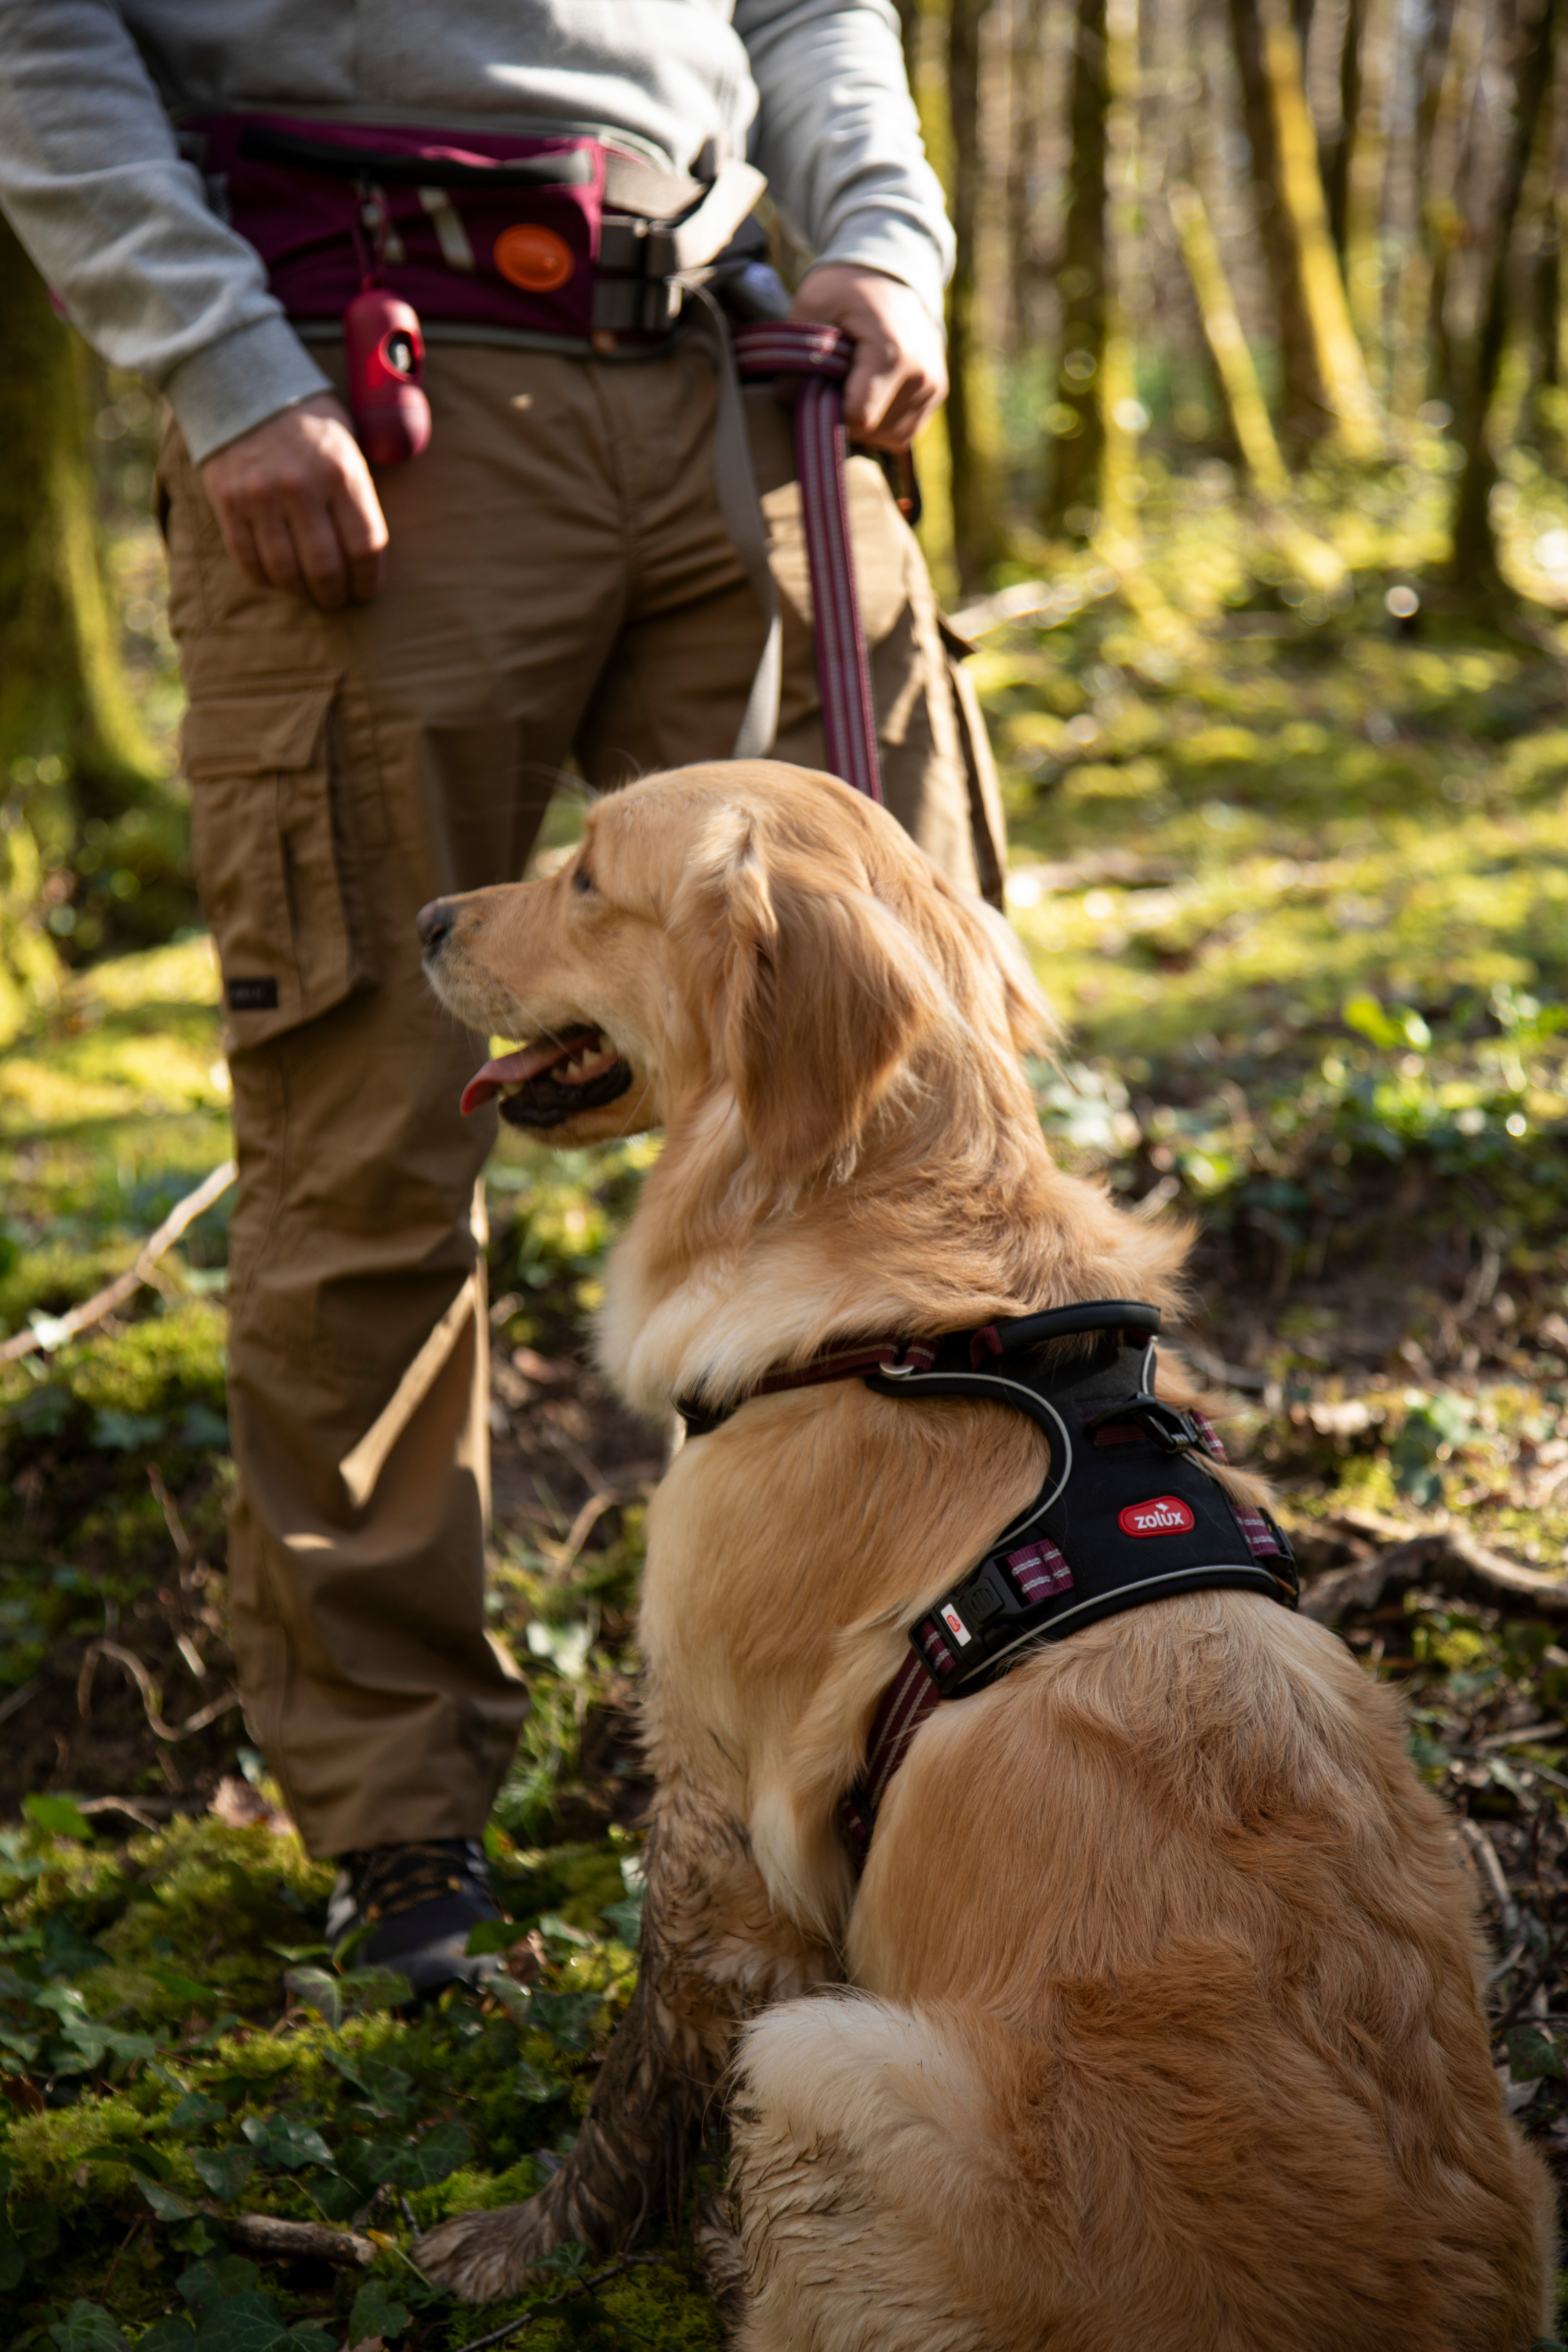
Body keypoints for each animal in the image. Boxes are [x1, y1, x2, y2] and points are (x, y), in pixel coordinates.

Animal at [411, 762, 1552, 2343]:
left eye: (585, 878)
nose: (423, 920)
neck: (903, 1323)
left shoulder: (710, 1796)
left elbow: (644, 2064)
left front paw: (543, 2241)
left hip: (820, 2066)